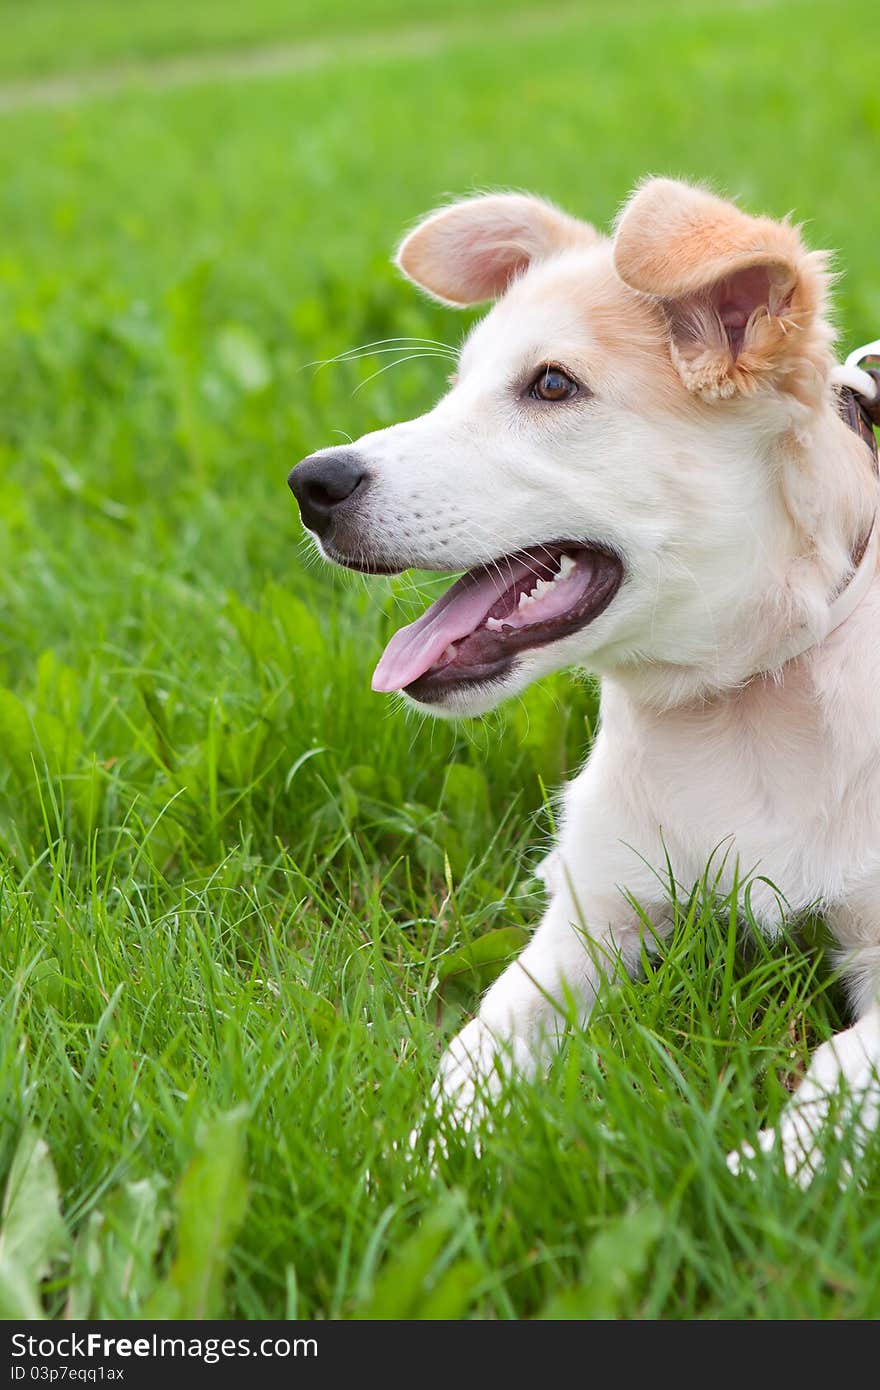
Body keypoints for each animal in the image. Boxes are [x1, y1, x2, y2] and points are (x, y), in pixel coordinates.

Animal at [290, 176, 878, 1184]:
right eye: (455, 386)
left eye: (552, 386)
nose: (310, 484)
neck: (748, 698)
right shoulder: (589, 918)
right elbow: (476, 1048)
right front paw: (408, 1171)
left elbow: (842, 1068)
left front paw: (761, 1179)